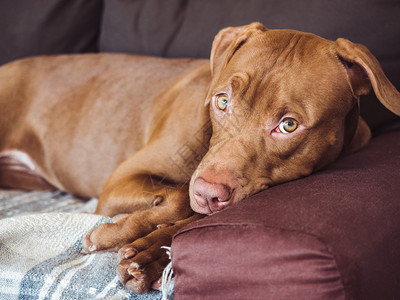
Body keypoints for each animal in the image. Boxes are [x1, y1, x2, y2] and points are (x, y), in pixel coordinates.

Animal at [0, 22, 400, 292]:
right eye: (222, 101)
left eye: (289, 125)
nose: (208, 193)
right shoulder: (120, 181)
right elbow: (179, 196)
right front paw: (112, 234)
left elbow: (187, 211)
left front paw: (151, 255)